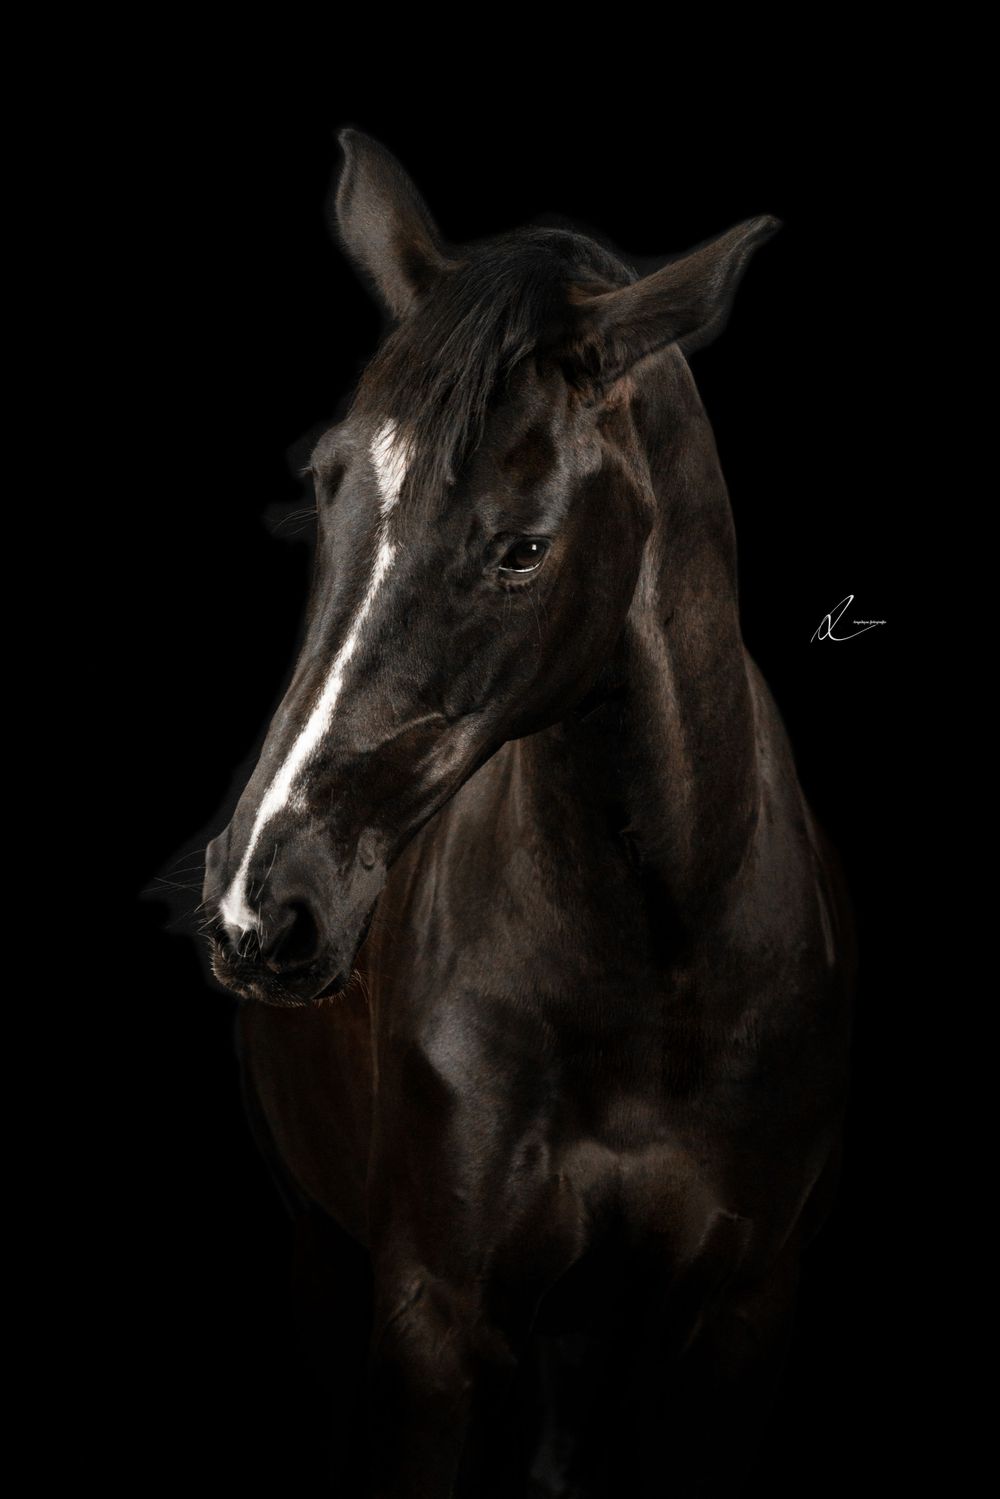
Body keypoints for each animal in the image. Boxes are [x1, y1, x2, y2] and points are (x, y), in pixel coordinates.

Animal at [200, 127, 857, 1497]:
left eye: (521, 549)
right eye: (328, 483)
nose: (257, 903)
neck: (654, 968)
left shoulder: (740, 1319)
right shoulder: (429, 1318)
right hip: (324, 1255)